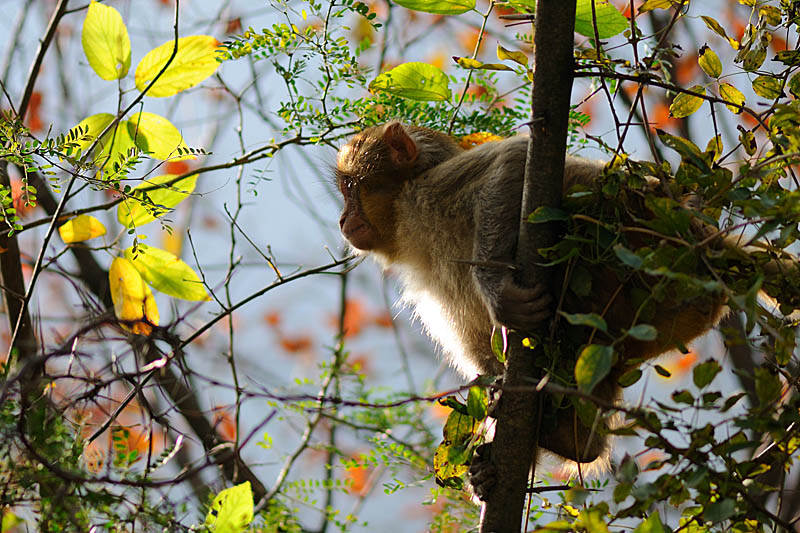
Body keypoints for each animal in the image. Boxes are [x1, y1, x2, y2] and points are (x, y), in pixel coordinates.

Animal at [334, 119, 796, 498]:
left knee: (582, 204)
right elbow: (485, 356)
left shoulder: (427, 194)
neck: (405, 225)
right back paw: (572, 439)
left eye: (351, 189)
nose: (342, 220)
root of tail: (706, 246)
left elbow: (514, 159)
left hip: (646, 242)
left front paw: (497, 291)